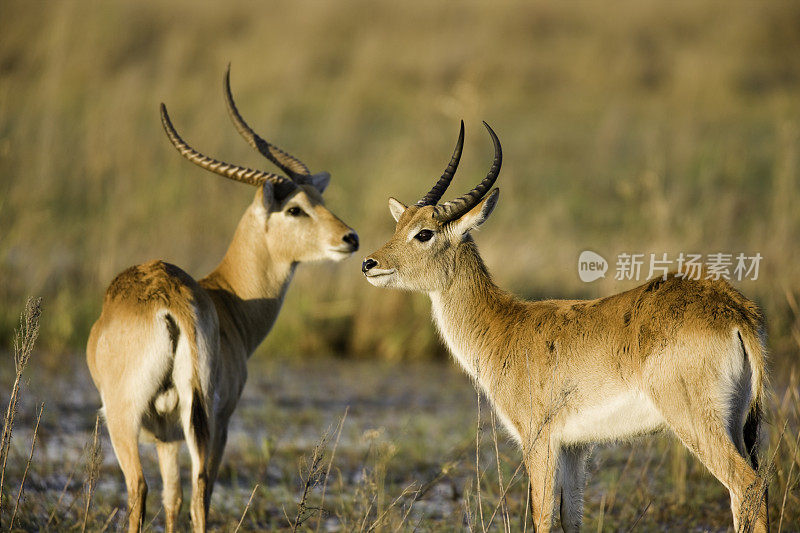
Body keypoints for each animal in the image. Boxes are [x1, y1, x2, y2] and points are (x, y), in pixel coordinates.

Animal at [86, 68, 358, 528]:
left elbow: (172, 497)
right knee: (190, 490)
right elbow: (175, 499)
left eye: (319, 199)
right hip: (182, 421)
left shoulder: (193, 426)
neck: (227, 299)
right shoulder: (183, 430)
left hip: (140, 420)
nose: (350, 238)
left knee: (148, 488)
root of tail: (169, 303)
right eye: (295, 209)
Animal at [362, 121, 768, 532]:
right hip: (736, 424)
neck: (504, 326)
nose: (369, 263)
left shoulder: (539, 440)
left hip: (698, 423)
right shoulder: (575, 447)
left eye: (424, 233)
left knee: (747, 485)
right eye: (399, 225)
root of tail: (733, 310)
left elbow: (542, 517)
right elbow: (571, 518)